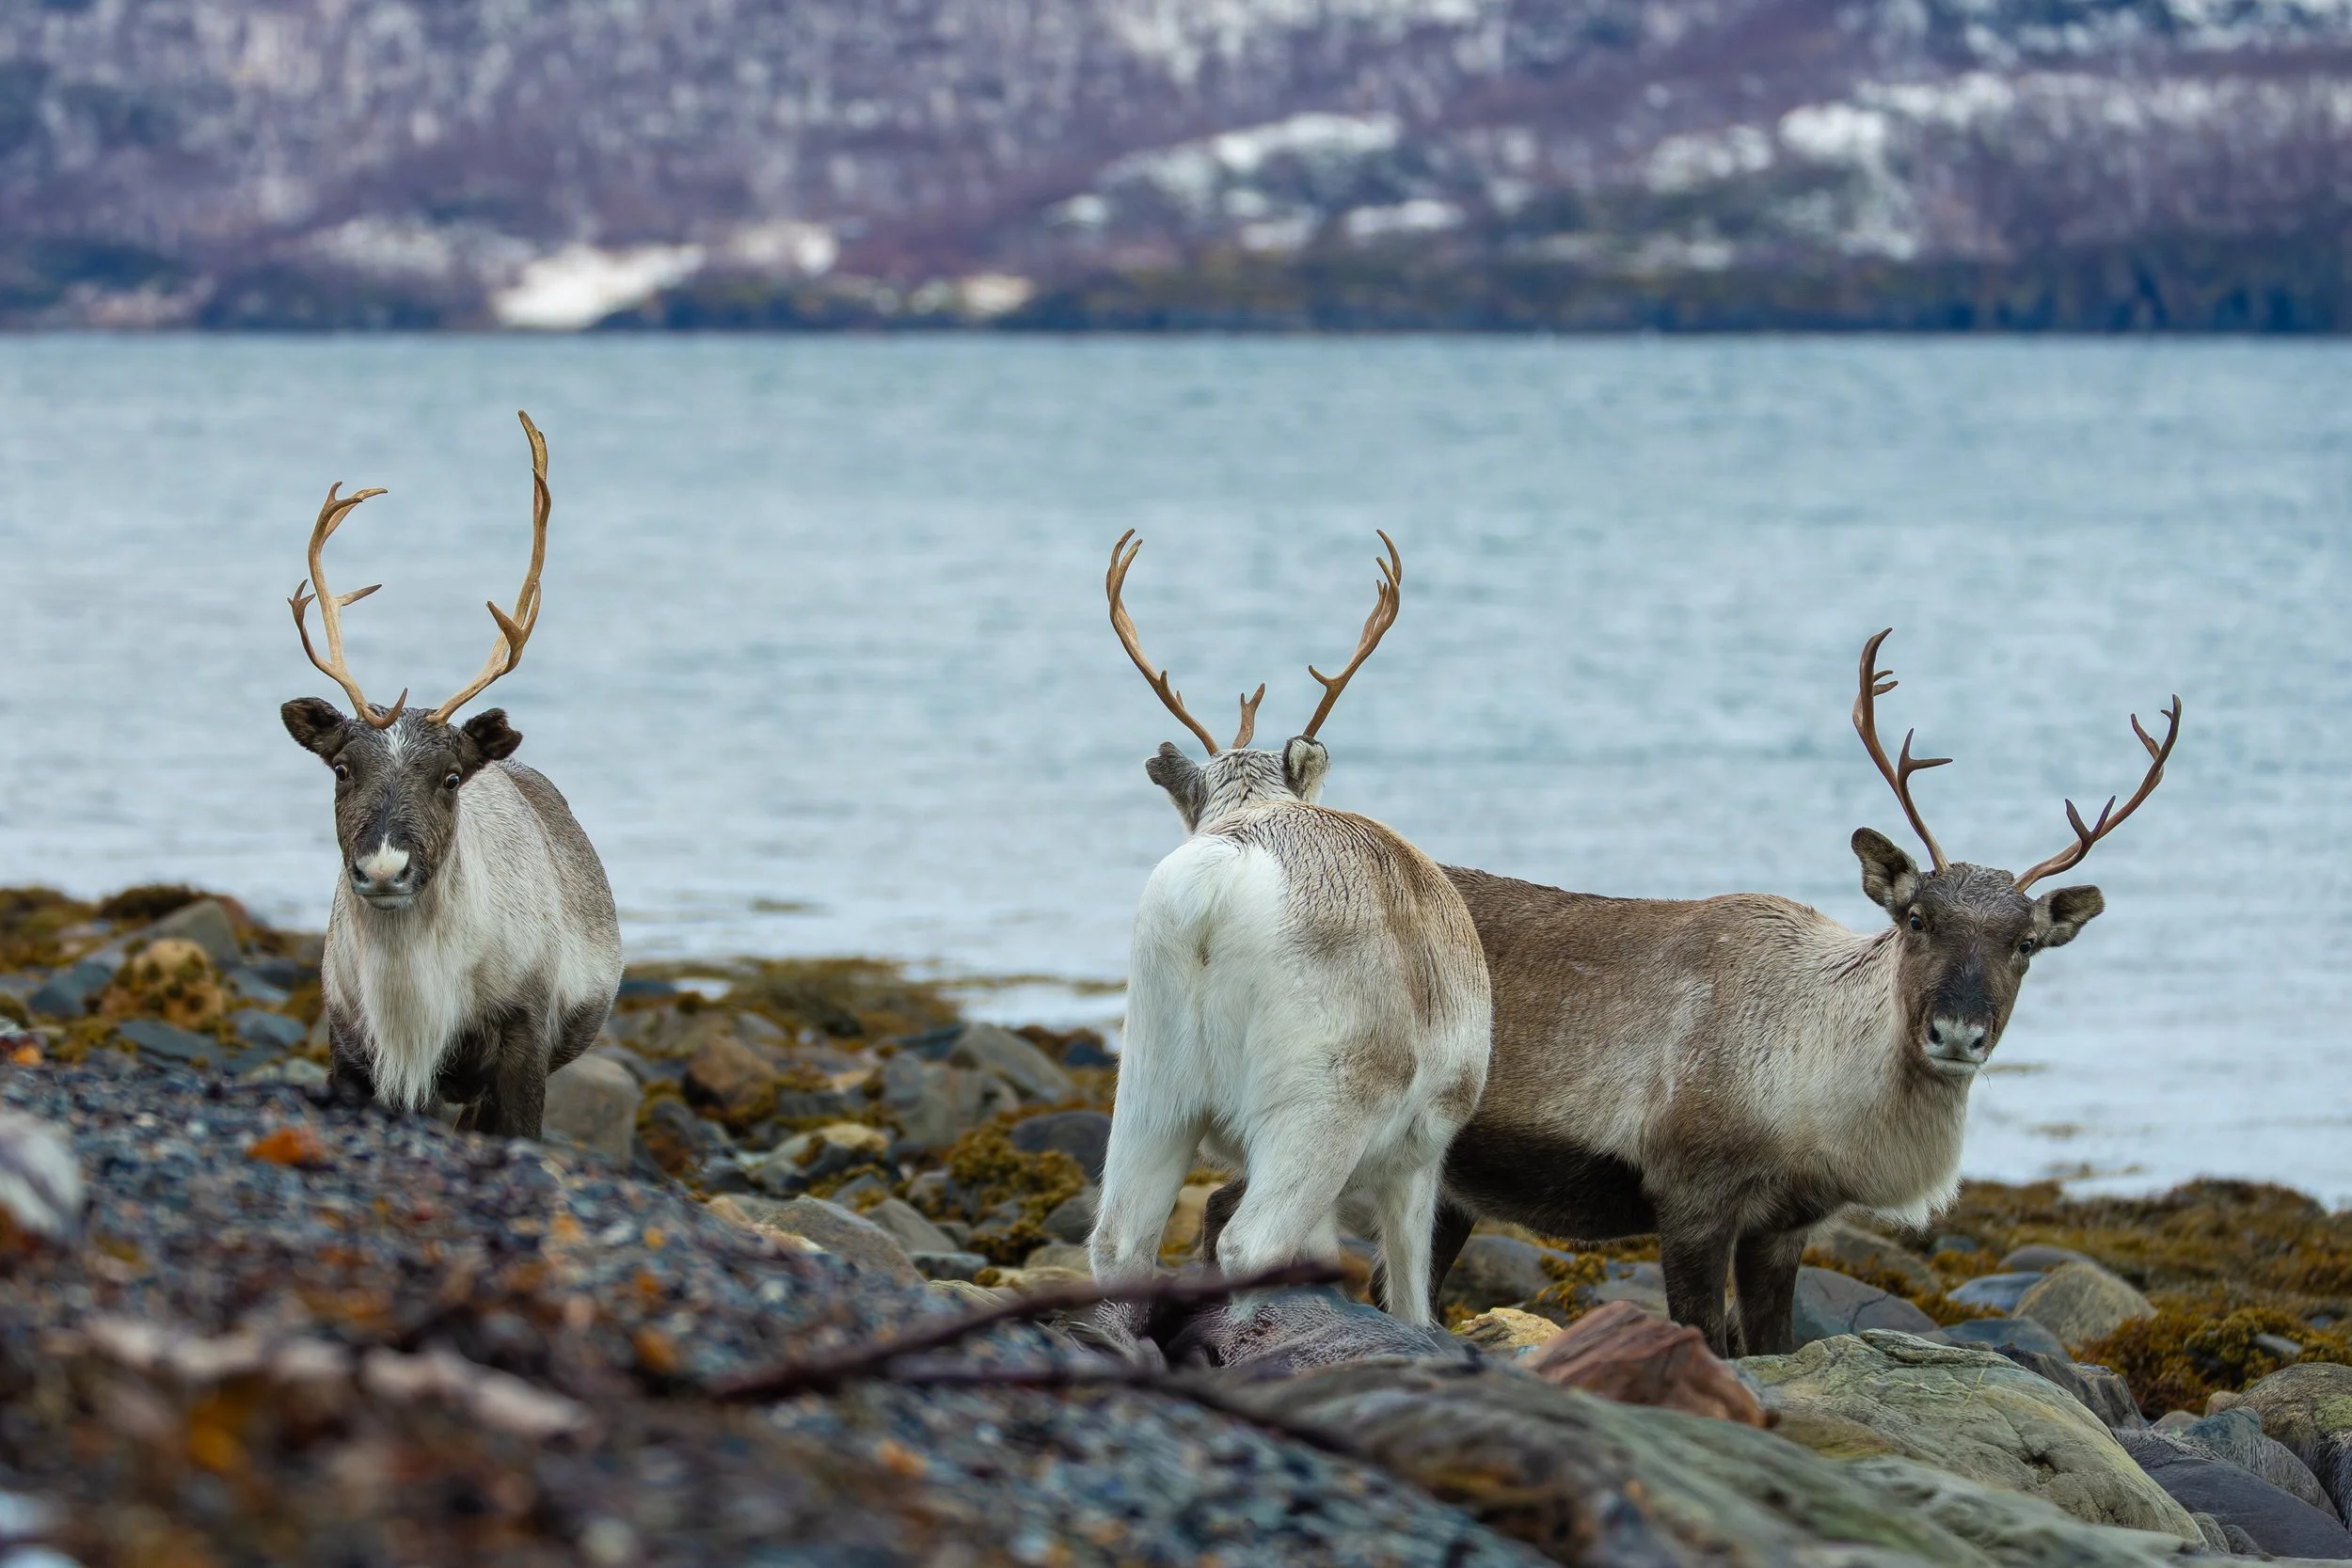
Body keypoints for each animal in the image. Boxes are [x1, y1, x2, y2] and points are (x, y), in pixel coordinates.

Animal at [277, 411, 623, 1140]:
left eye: (451, 778)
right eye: (341, 768)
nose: (383, 867)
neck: (415, 1006)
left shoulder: (523, 1042)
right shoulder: (352, 1045)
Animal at [1087, 530, 1491, 1339]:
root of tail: (1218, 885)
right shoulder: (1420, 1154)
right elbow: (1409, 1283)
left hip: (1151, 1084)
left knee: (1119, 1243)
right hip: (1323, 1102)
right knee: (1252, 1243)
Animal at [1205, 629, 2181, 1357]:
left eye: (2026, 944)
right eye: (1916, 918)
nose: (1956, 1032)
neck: (1815, 1078)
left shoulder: (1784, 1226)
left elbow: (1774, 1346)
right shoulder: (1692, 1196)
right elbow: (1710, 1341)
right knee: (1227, 1208)